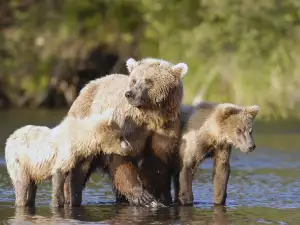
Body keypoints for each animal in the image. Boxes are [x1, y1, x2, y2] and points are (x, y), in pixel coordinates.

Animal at [65, 57, 188, 207]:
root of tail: (88, 85)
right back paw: (71, 196)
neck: (150, 115)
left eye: (148, 81)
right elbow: (121, 159)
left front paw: (156, 196)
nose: (130, 94)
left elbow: (157, 163)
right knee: (80, 167)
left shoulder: (166, 128)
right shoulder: (128, 127)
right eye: (134, 80)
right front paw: (143, 196)